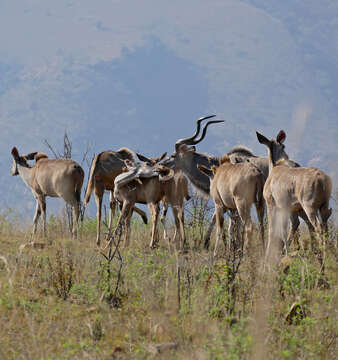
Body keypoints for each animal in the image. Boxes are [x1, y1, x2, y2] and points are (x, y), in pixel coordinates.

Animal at [258, 129, 332, 258]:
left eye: (284, 146)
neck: (274, 166)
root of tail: (323, 181)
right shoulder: (290, 207)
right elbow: (288, 226)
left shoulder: (271, 202)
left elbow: (273, 229)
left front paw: (268, 255)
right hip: (324, 204)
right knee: (324, 224)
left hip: (309, 205)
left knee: (318, 225)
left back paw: (321, 252)